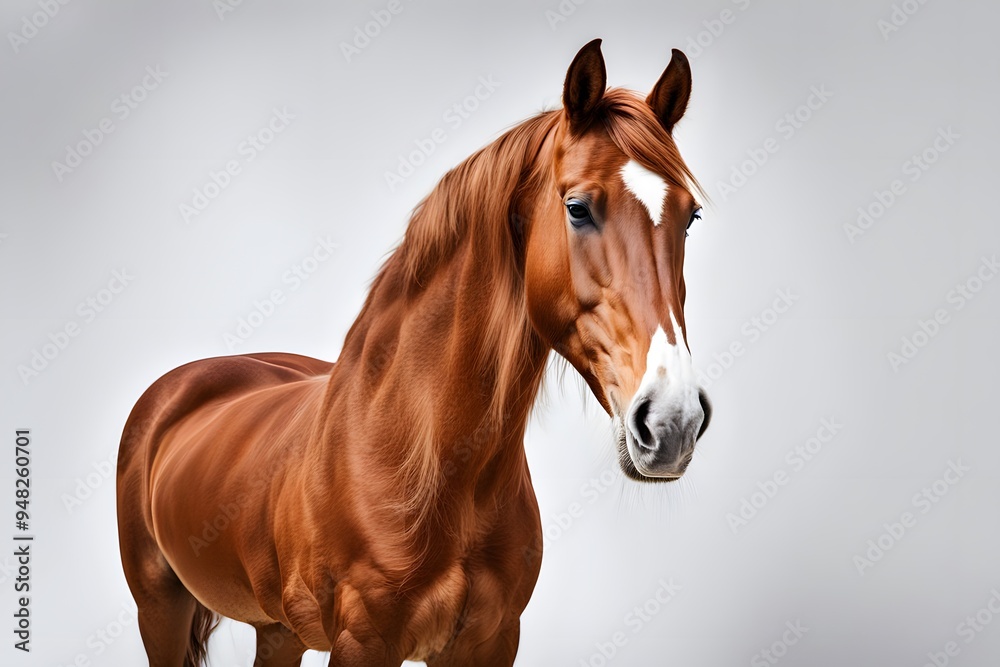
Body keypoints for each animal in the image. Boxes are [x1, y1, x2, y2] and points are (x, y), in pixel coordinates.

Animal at [116, 38, 711, 667]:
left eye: (690, 216)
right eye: (577, 208)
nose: (673, 421)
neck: (425, 459)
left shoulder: (489, 643)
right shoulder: (363, 643)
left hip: (276, 629)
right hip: (160, 610)